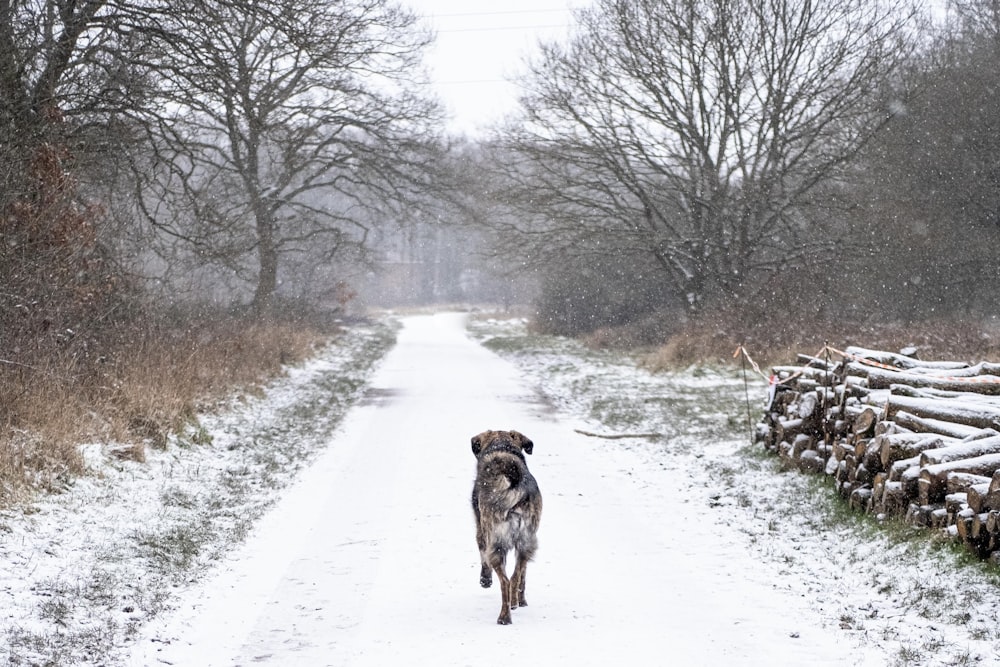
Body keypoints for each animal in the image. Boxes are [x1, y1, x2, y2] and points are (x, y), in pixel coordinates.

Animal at [470, 430, 544, 624]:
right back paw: (515, 602)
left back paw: (504, 617)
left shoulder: (482, 531)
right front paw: (522, 600)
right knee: (516, 576)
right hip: (526, 542)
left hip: (496, 544)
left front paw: (485, 580)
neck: (502, 447)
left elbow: (482, 556)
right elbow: (523, 575)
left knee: (505, 581)